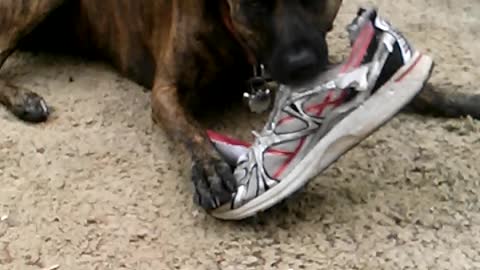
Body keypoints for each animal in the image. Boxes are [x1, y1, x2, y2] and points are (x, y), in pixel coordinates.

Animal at [0, 0, 480, 211]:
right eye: (255, 3)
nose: (303, 66)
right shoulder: (166, 92)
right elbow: (190, 131)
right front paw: (211, 169)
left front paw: (455, 95)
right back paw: (24, 99)